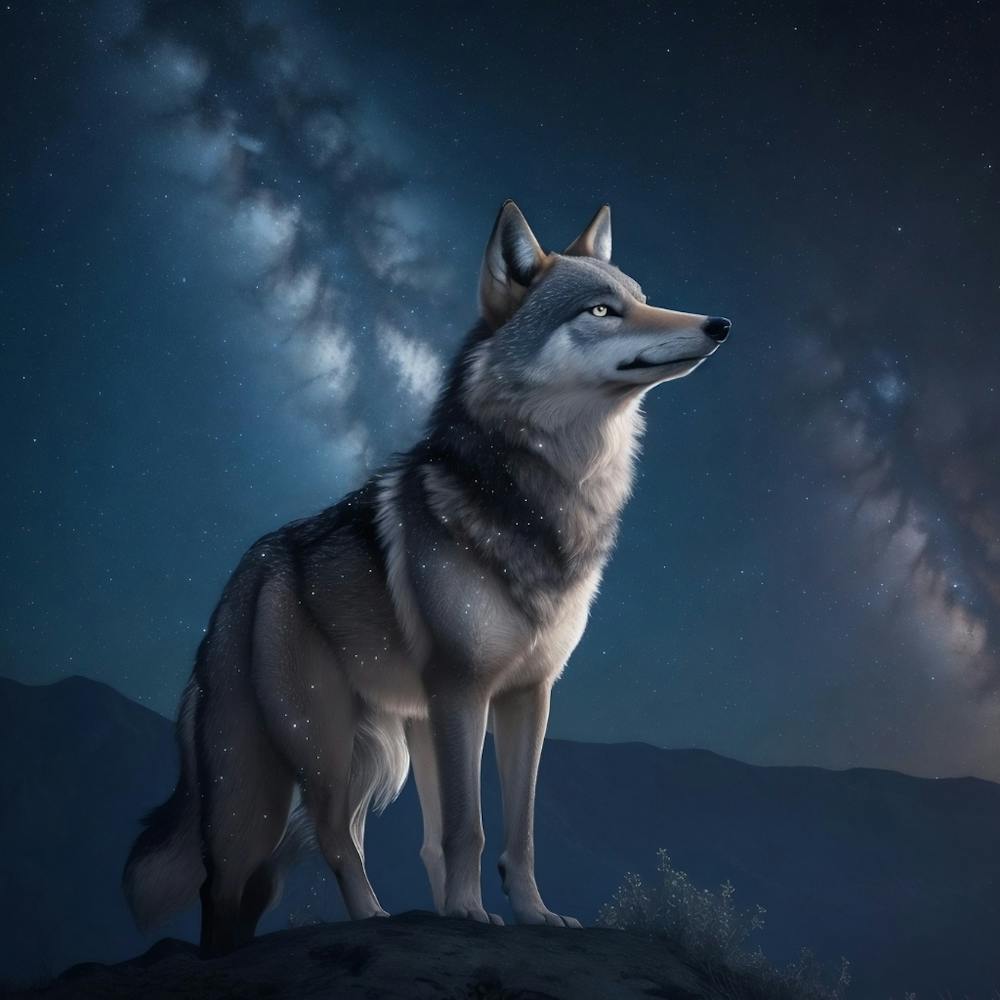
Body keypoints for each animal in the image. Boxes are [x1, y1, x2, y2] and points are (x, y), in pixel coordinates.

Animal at [123, 200, 731, 955]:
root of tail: (237, 585)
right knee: (295, 851)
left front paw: (530, 915)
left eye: (644, 298)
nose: (719, 325)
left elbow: (518, 832)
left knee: (309, 857)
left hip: (384, 751)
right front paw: (469, 913)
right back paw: (362, 922)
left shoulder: (528, 695)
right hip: (308, 754)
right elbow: (467, 828)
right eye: (601, 310)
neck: (543, 496)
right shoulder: (460, 689)